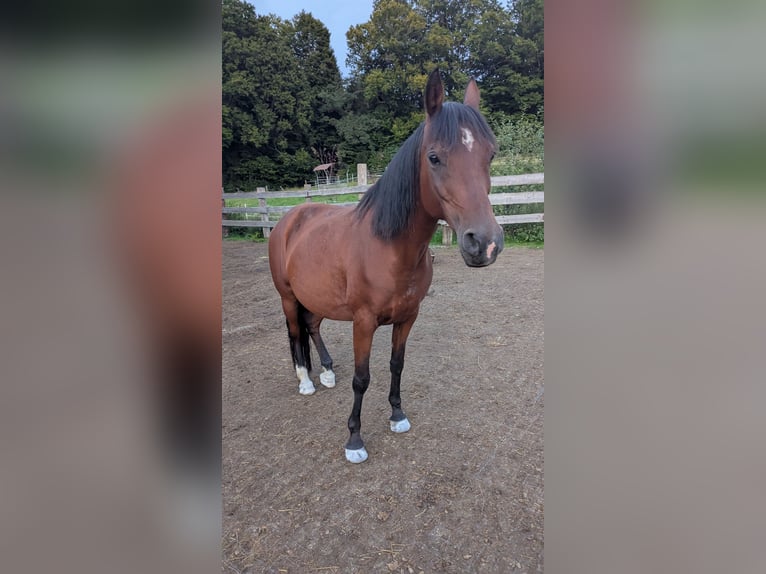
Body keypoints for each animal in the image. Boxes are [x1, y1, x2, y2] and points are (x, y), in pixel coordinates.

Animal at [268, 69, 503, 463]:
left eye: (491, 153)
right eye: (434, 157)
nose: (484, 243)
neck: (389, 248)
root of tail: (290, 218)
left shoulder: (408, 317)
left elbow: (397, 365)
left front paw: (397, 415)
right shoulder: (363, 322)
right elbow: (361, 378)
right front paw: (354, 440)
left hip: (316, 296)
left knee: (312, 326)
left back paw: (326, 372)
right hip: (288, 298)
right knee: (295, 332)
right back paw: (305, 381)